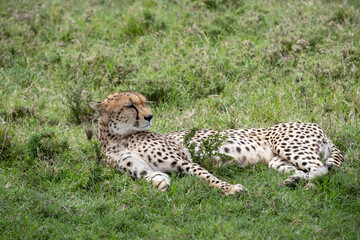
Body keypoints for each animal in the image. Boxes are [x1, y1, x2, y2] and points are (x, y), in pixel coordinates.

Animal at [90, 91, 344, 193]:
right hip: (277, 160)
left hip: (287, 144)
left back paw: (308, 185)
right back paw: (294, 180)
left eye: (143, 103)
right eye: (130, 105)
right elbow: (151, 176)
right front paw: (161, 183)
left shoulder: (183, 161)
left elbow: (207, 177)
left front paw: (231, 189)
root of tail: (315, 124)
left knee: (323, 168)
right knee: (309, 169)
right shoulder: (140, 167)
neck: (118, 138)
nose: (150, 116)